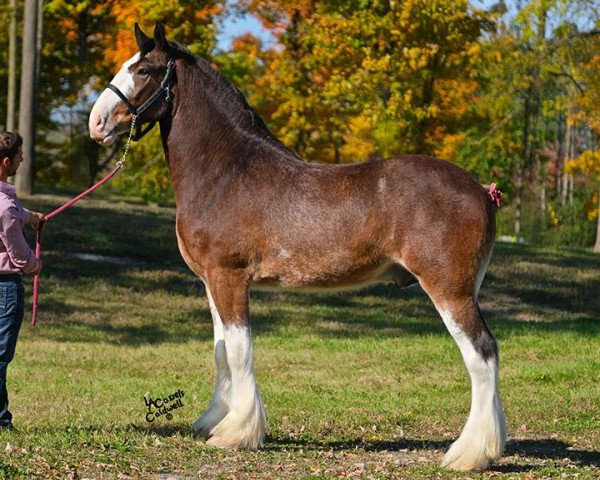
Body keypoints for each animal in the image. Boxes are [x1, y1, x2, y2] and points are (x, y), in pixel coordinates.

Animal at [88, 23, 506, 472]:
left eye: (144, 69)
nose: (96, 123)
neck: (225, 171)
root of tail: (481, 191)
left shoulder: (229, 278)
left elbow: (240, 350)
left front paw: (237, 433)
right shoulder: (211, 282)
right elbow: (222, 352)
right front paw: (213, 421)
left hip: (450, 290)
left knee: (481, 354)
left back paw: (469, 453)